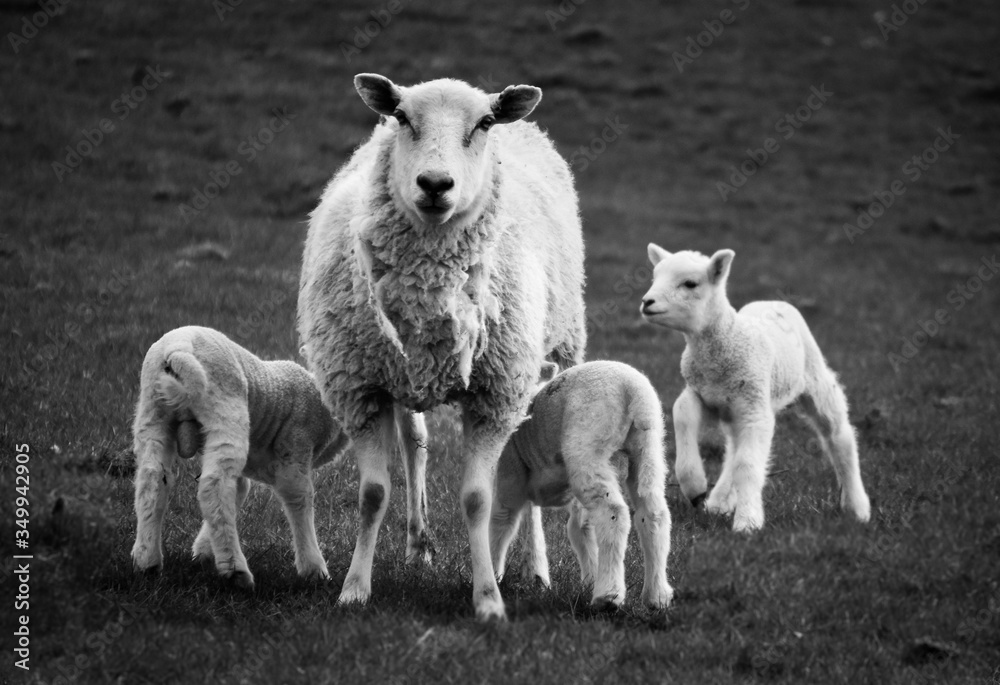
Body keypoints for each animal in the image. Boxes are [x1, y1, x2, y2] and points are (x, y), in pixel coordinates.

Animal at [130, 325, 349, 588]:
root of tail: (177, 349)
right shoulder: (295, 450)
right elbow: (299, 499)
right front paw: (314, 570)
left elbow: (238, 491)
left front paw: (203, 551)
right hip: (225, 407)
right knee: (214, 487)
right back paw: (236, 571)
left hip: (152, 410)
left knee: (152, 480)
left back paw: (147, 562)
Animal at [298, 73, 586, 620]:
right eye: (402, 117)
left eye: (484, 123)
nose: (434, 184)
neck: (429, 287)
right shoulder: (361, 389)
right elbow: (372, 494)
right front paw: (354, 588)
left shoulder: (495, 396)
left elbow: (477, 499)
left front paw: (488, 598)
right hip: (404, 377)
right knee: (416, 445)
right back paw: (419, 545)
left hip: (552, 357)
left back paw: (537, 569)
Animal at [491, 361, 674, 610]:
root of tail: (633, 391)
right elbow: (581, 529)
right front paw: (589, 578)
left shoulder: (510, 476)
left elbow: (502, 523)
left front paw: (492, 576)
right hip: (648, 450)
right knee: (653, 513)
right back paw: (657, 596)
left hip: (587, 446)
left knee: (613, 513)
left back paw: (608, 596)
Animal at [640, 245, 871, 532]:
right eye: (654, 277)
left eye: (690, 284)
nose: (647, 302)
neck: (725, 341)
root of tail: (772, 302)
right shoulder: (699, 392)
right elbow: (682, 415)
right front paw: (695, 486)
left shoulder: (755, 407)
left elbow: (748, 464)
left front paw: (748, 522)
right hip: (736, 408)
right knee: (734, 447)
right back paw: (719, 501)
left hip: (814, 378)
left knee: (838, 435)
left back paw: (857, 507)